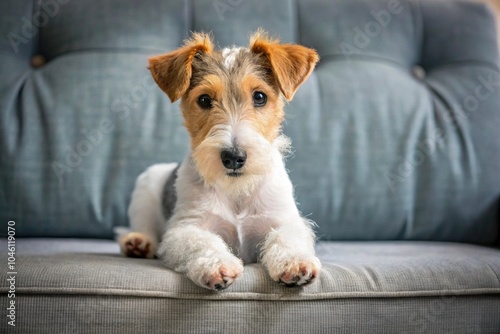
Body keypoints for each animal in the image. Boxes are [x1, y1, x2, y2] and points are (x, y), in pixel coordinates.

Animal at [118, 30, 320, 290]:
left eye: (260, 97)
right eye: (204, 100)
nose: (234, 157)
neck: (236, 191)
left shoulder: (284, 220)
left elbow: (285, 237)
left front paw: (295, 262)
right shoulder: (186, 227)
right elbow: (202, 242)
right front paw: (217, 265)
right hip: (145, 187)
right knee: (144, 225)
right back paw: (138, 243)